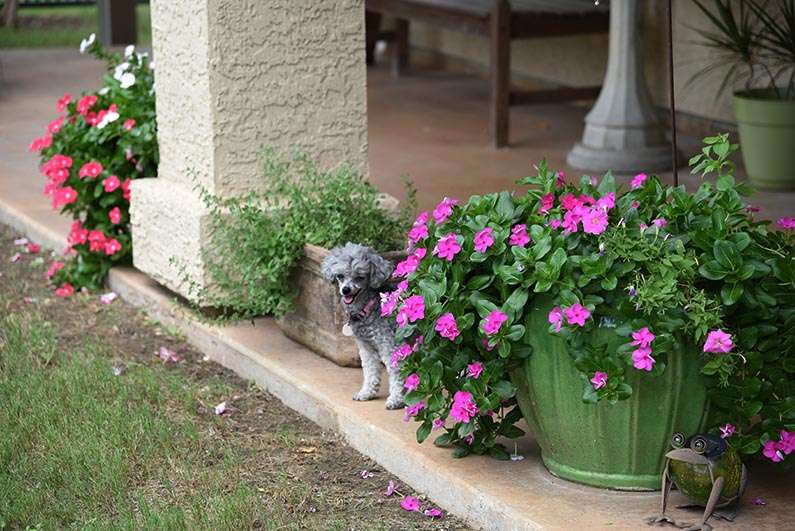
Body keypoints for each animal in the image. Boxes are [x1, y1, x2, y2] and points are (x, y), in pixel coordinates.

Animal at [320, 243, 404, 410]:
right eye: (340, 276)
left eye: (360, 277)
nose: (345, 290)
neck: (370, 307)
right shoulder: (366, 347)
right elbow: (370, 371)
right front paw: (366, 393)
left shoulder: (389, 346)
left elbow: (396, 373)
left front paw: (396, 399)